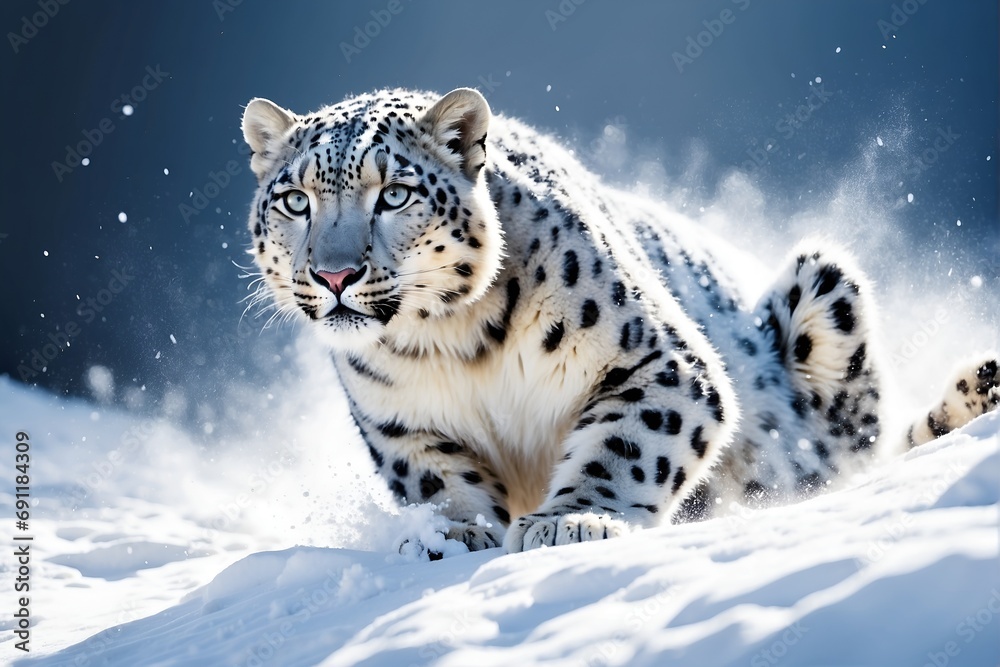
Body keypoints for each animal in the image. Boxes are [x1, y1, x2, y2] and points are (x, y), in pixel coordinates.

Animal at [239, 87, 999, 555]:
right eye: (296, 200)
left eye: (394, 194)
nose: (334, 275)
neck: (450, 345)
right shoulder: (403, 427)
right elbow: (438, 483)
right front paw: (447, 536)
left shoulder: (661, 364)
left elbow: (626, 444)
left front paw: (571, 522)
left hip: (826, 291)